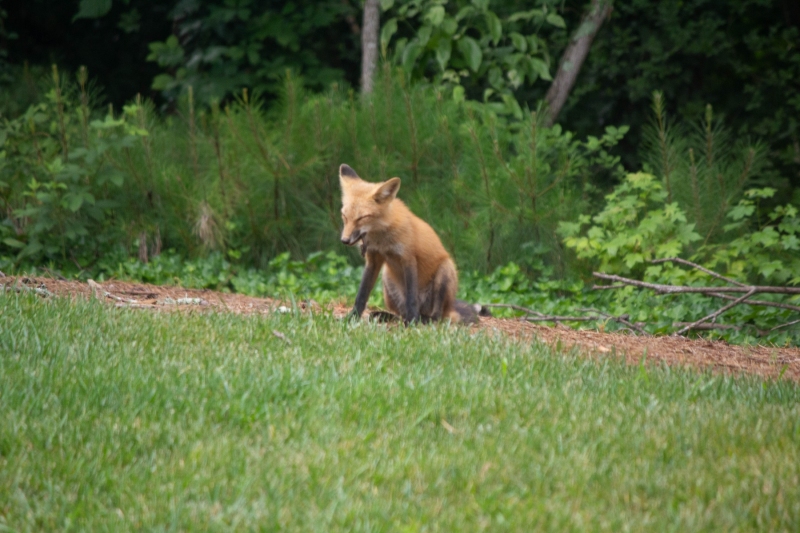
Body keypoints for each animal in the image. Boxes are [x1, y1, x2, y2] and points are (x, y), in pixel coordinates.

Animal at [338, 163, 479, 325]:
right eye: (344, 216)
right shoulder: (373, 259)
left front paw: (412, 322)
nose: (344, 240)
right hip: (387, 277)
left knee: (436, 316)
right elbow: (361, 295)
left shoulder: (408, 258)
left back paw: (422, 319)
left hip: (445, 271)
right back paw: (390, 317)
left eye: (362, 218)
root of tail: (450, 308)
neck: (381, 239)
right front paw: (352, 317)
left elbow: (411, 298)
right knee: (401, 313)